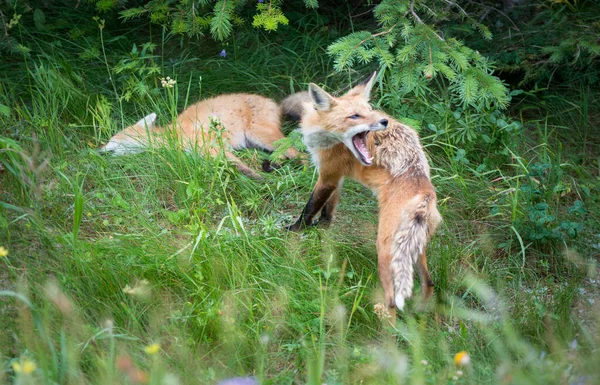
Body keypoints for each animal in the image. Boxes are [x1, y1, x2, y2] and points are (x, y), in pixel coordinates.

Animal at [101, 93, 304, 178]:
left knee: (299, 154)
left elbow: (238, 165)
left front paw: (259, 181)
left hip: (264, 137)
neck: (172, 136)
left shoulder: (211, 146)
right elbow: (235, 165)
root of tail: (275, 103)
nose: (98, 151)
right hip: (261, 144)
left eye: (113, 140)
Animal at [284, 72, 442, 316]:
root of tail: (424, 193)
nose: (384, 121)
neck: (326, 136)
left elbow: (309, 208)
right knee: (429, 282)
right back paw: (422, 315)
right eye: (355, 115)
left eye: (369, 110)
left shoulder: (327, 176)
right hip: (415, 250)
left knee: (392, 301)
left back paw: (383, 316)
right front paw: (322, 233)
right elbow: (328, 212)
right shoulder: (337, 179)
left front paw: (294, 231)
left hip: (386, 251)